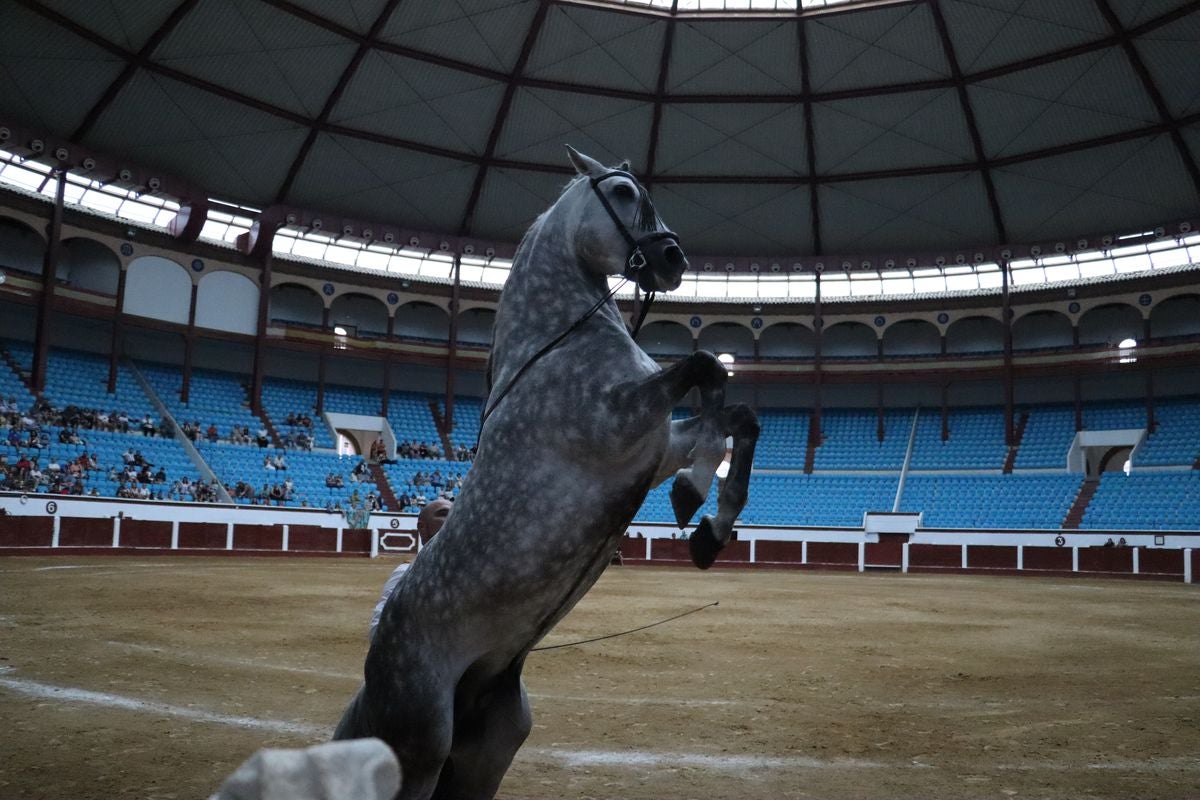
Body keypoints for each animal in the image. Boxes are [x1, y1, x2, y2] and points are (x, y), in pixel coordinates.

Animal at [333, 146, 760, 800]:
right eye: (623, 193)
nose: (672, 259)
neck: (559, 345)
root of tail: (375, 662)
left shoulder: (656, 446)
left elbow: (737, 412)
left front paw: (711, 533)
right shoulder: (619, 426)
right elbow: (705, 367)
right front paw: (693, 500)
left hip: (487, 754)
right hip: (421, 748)